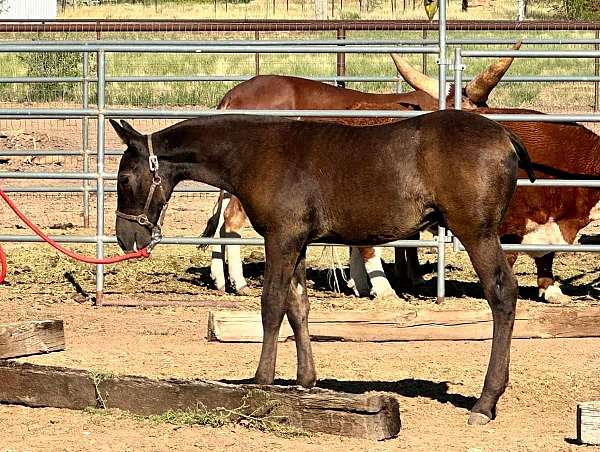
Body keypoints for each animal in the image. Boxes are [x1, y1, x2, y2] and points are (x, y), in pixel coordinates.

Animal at [112, 110, 536, 424]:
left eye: (124, 177)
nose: (125, 237)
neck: (256, 153)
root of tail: (504, 135)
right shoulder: (298, 242)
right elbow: (298, 306)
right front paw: (305, 381)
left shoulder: (280, 238)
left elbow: (272, 305)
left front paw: (261, 380)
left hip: (477, 232)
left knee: (502, 293)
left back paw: (485, 402)